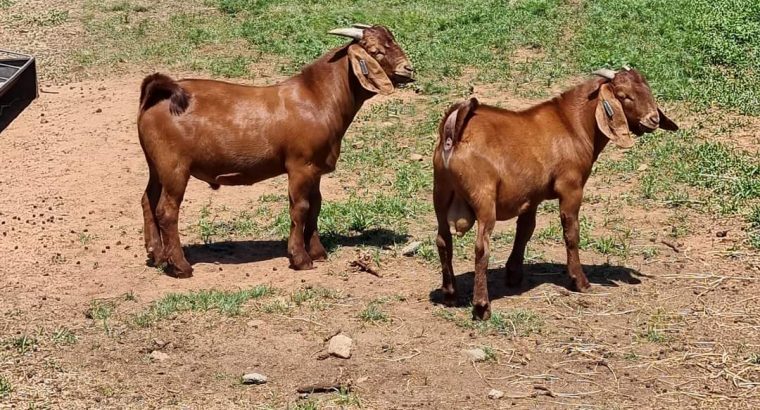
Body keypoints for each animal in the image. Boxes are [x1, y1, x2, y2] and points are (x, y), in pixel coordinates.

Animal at [137, 24, 414, 278]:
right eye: (376, 51)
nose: (408, 69)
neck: (318, 98)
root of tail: (160, 94)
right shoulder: (300, 166)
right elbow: (300, 207)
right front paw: (300, 258)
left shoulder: (315, 168)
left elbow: (316, 205)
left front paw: (318, 252)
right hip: (174, 165)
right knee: (167, 210)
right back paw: (180, 266)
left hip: (155, 163)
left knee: (148, 200)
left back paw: (157, 255)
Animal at [433, 68, 678, 320]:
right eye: (623, 96)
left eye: (647, 89)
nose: (653, 119)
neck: (572, 123)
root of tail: (453, 133)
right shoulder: (571, 188)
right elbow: (571, 233)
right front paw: (580, 281)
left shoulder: (531, 197)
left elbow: (525, 230)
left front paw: (513, 274)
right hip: (484, 196)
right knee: (481, 247)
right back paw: (482, 306)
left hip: (440, 192)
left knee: (443, 240)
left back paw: (450, 294)